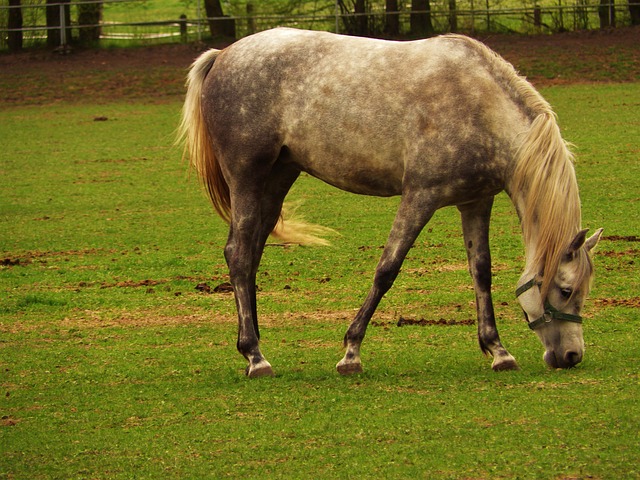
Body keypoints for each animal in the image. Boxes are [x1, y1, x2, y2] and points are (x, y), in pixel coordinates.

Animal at [178, 28, 604, 376]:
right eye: (566, 290)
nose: (571, 356)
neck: (478, 104)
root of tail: (223, 54)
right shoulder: (420, 196)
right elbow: (387, 269)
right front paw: (351, 353)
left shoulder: (476, 202)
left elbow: (481, 272)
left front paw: (498, 351)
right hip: (247, 178)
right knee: (238, 254)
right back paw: (255, 357)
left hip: (278, 179)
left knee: (250, 255)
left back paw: (253, 347)